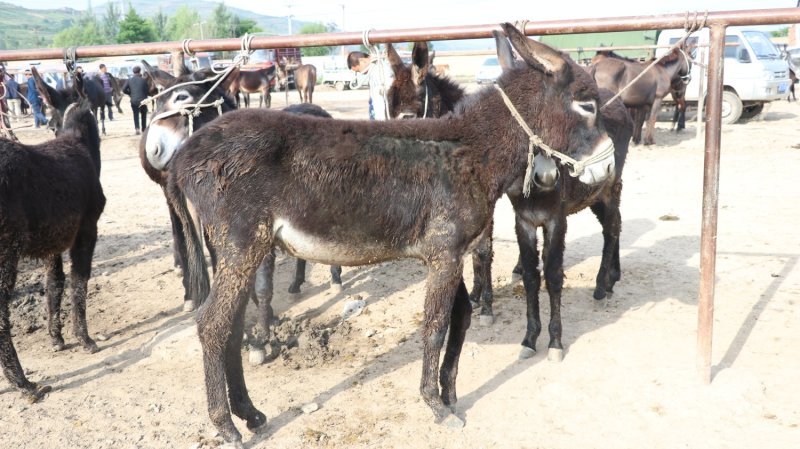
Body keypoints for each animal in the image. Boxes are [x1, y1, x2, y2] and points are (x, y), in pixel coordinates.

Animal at [0, 73, 104, 404]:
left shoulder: (54, 240)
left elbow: (54, 282)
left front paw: (56, 337)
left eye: (48, 122)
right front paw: (84, 338)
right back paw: (25, 385)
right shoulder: (86, 230)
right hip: (6, 250)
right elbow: (79, 280)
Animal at [386, 40, 632, 361]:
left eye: (409, 116)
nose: (545, 176)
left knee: (612, 227)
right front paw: (505, 318)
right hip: (595, 195)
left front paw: (545, 337)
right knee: (613, 226)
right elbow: (525, 273)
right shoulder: (521, 219)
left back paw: (604, 285)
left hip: (610, 187)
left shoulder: (554, 219)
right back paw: (613, 275)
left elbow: (533, 268)